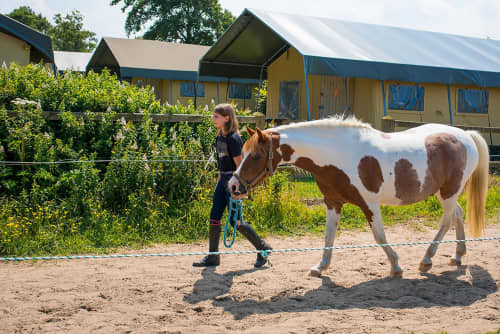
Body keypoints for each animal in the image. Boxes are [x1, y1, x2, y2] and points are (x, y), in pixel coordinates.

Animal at [229, 116, 488, 278]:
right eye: (242, 152)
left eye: (255, 156)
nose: (233, 186)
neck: (338, 154)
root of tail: (465, 135)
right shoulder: (333, 203)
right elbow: (328, 236)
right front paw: (320, 267)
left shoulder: (369, 203)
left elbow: (379, 236)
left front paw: (396, 266)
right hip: (444, 193)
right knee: (457, 215)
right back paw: (457, 256)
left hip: (449, 191)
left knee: (447, 220)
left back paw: (427, 259)